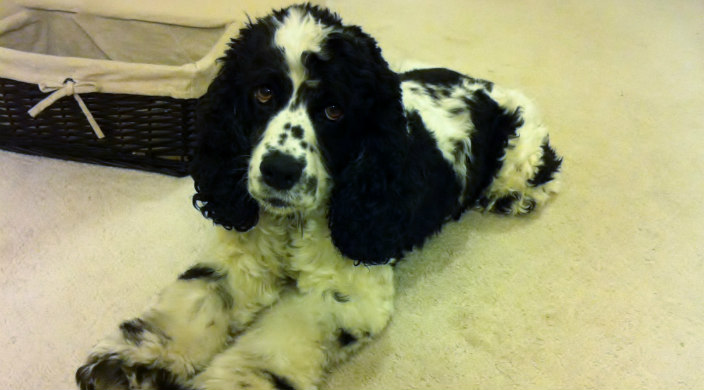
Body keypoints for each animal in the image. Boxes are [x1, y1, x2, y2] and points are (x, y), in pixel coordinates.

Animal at [77, 3, 560, 390]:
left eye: (333, 110)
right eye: (263, 92)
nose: (279, 171)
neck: (293, 223)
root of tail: (480, 84)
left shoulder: (347, 290)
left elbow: (275, 342)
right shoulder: (242, 258)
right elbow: (198, 299)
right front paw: (131, 363)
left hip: (523, 140)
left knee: (541, 166)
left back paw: (512, 197)